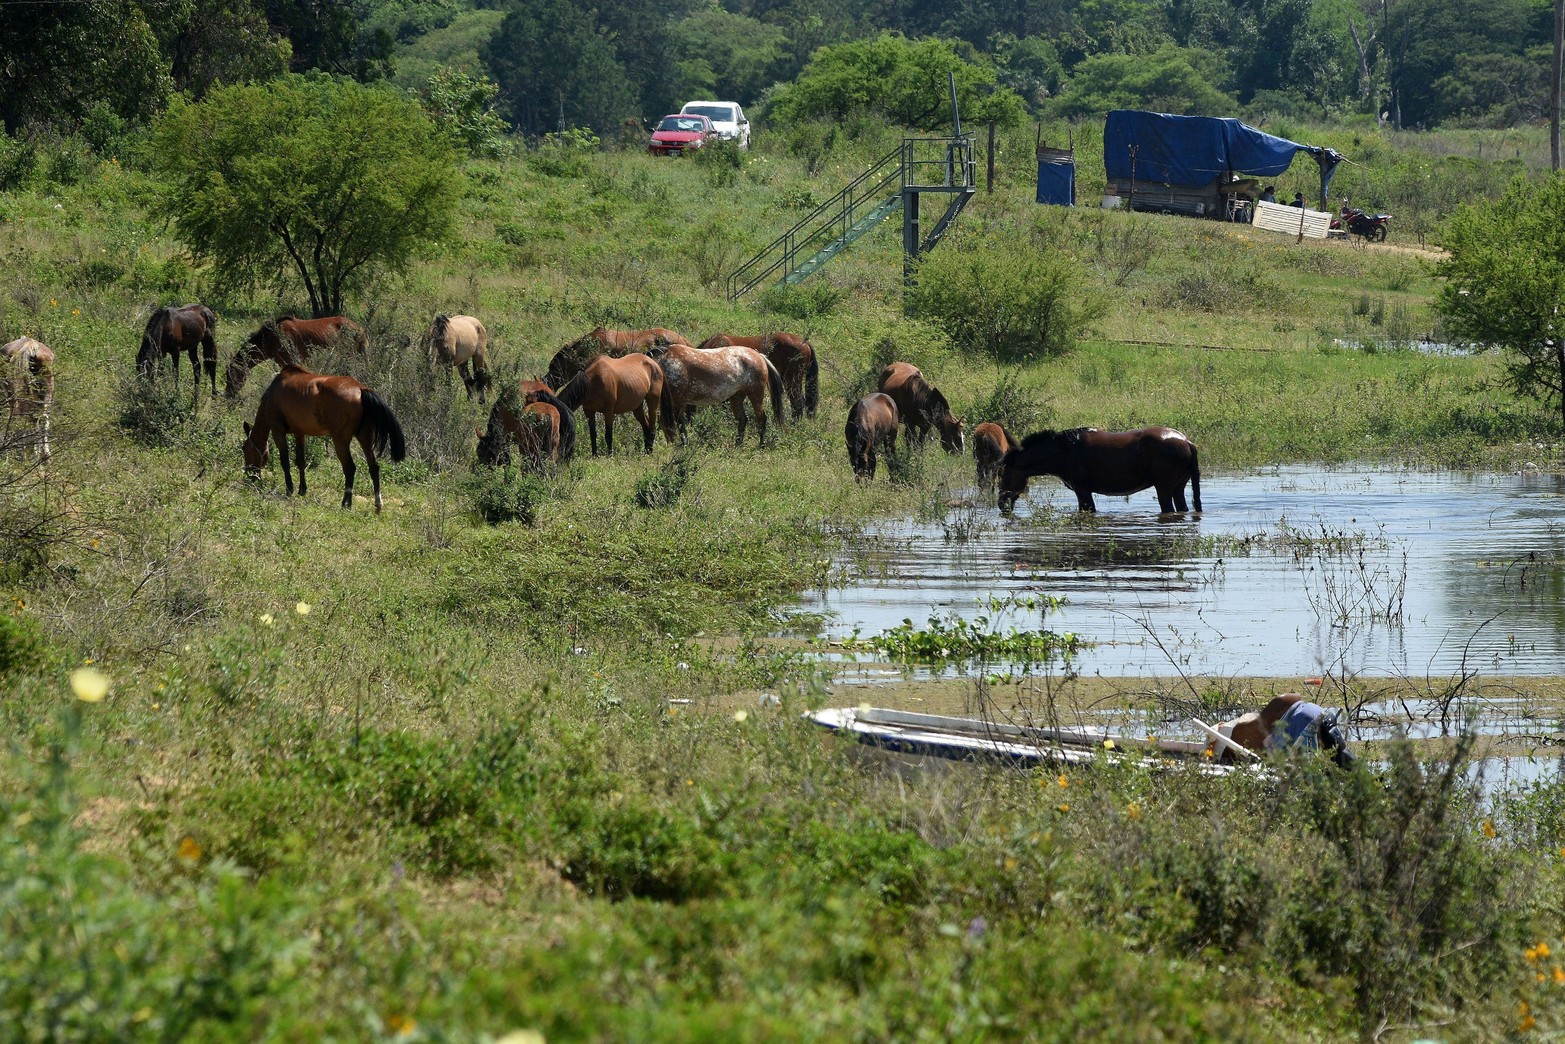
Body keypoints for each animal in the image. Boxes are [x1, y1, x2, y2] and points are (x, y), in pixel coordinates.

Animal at [241, 365, 406, 512]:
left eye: (244, 449)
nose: (250, 477)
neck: (272, 394)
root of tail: (360, 389)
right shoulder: (300, 433)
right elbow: (301, 461)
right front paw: (302, 489)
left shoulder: (278, 431)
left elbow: (285, 462)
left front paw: (289, 490)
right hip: (365, 438)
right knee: (374, 467)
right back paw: (378, 505)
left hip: (340, 441)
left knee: (350, 468)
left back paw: (346, 503)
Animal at [997, 426, 1202, 515]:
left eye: (1003, 475)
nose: (1001, 504)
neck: (1063, 450)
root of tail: (1187, 442)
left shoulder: (1082, 491)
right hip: (1178, 487)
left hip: (1164, 488)